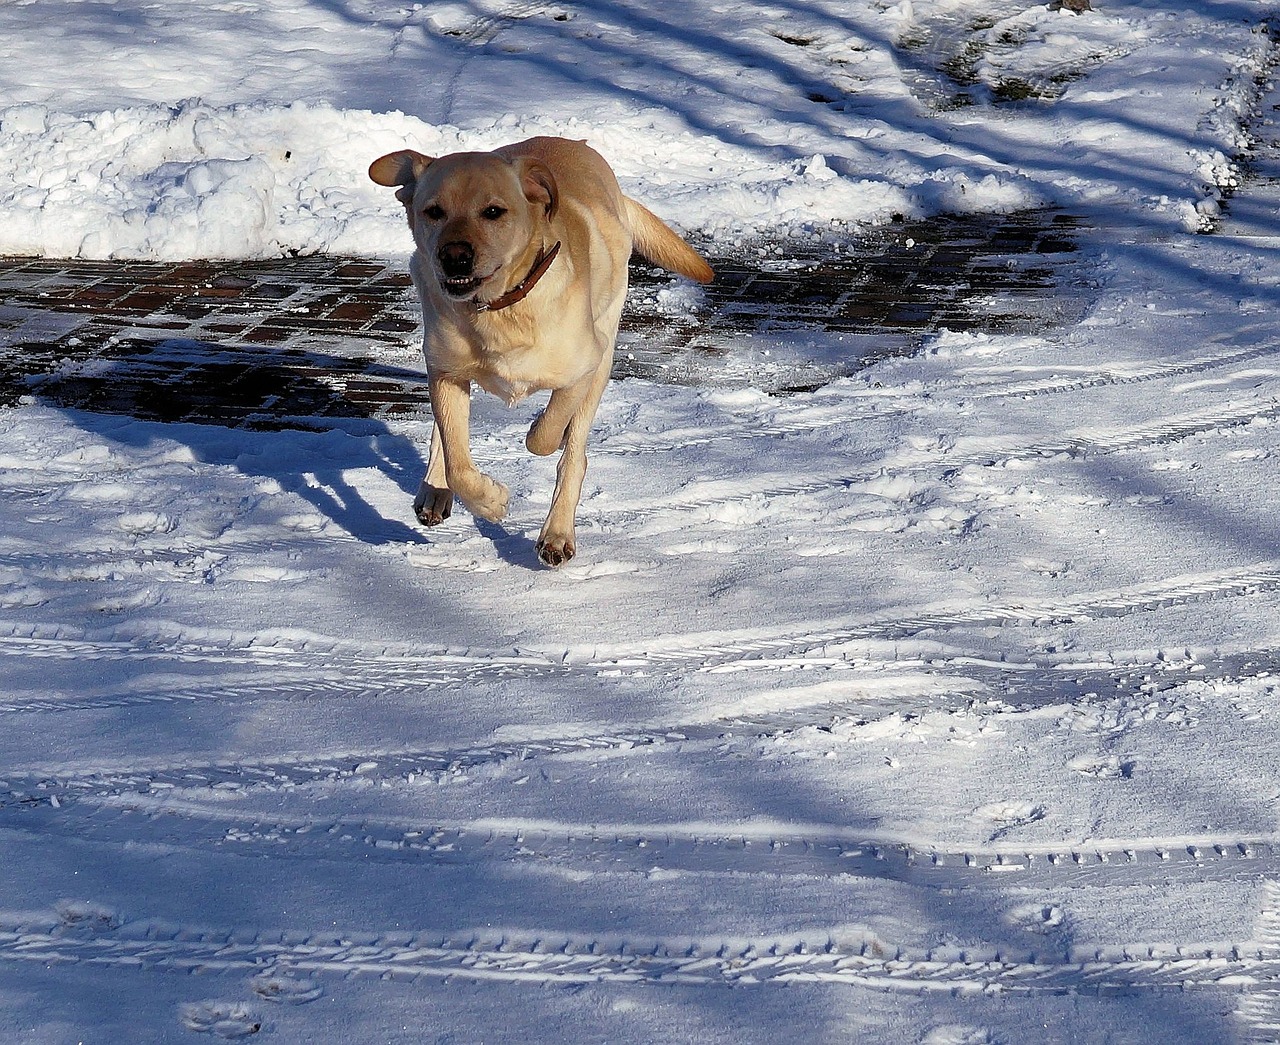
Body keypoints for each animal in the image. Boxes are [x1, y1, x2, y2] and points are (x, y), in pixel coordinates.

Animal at [368, 138, 711, 568]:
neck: (501, 309)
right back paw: (434, 488)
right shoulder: (446, 372)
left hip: (604, 349)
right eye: (434, 211)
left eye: (493, 211)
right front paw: (490, 500)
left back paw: (557, 533)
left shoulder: (584, 367)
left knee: (574, 456)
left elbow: (546, 435)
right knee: (446, 435)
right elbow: (458, 457)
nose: (454, 256)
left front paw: (538, 431)